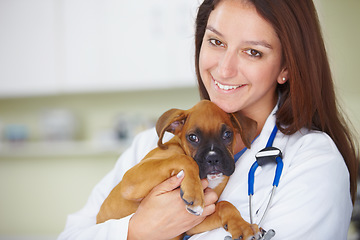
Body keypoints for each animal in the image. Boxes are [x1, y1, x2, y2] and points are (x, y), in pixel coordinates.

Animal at [95, 100, 258, 240]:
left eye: (227, 134)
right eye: (193, 137)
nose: (213, 159)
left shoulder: (194, 223)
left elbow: (225, 205)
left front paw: (243, 226)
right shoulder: (130, 179)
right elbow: (185, 159)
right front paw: (194, 192)